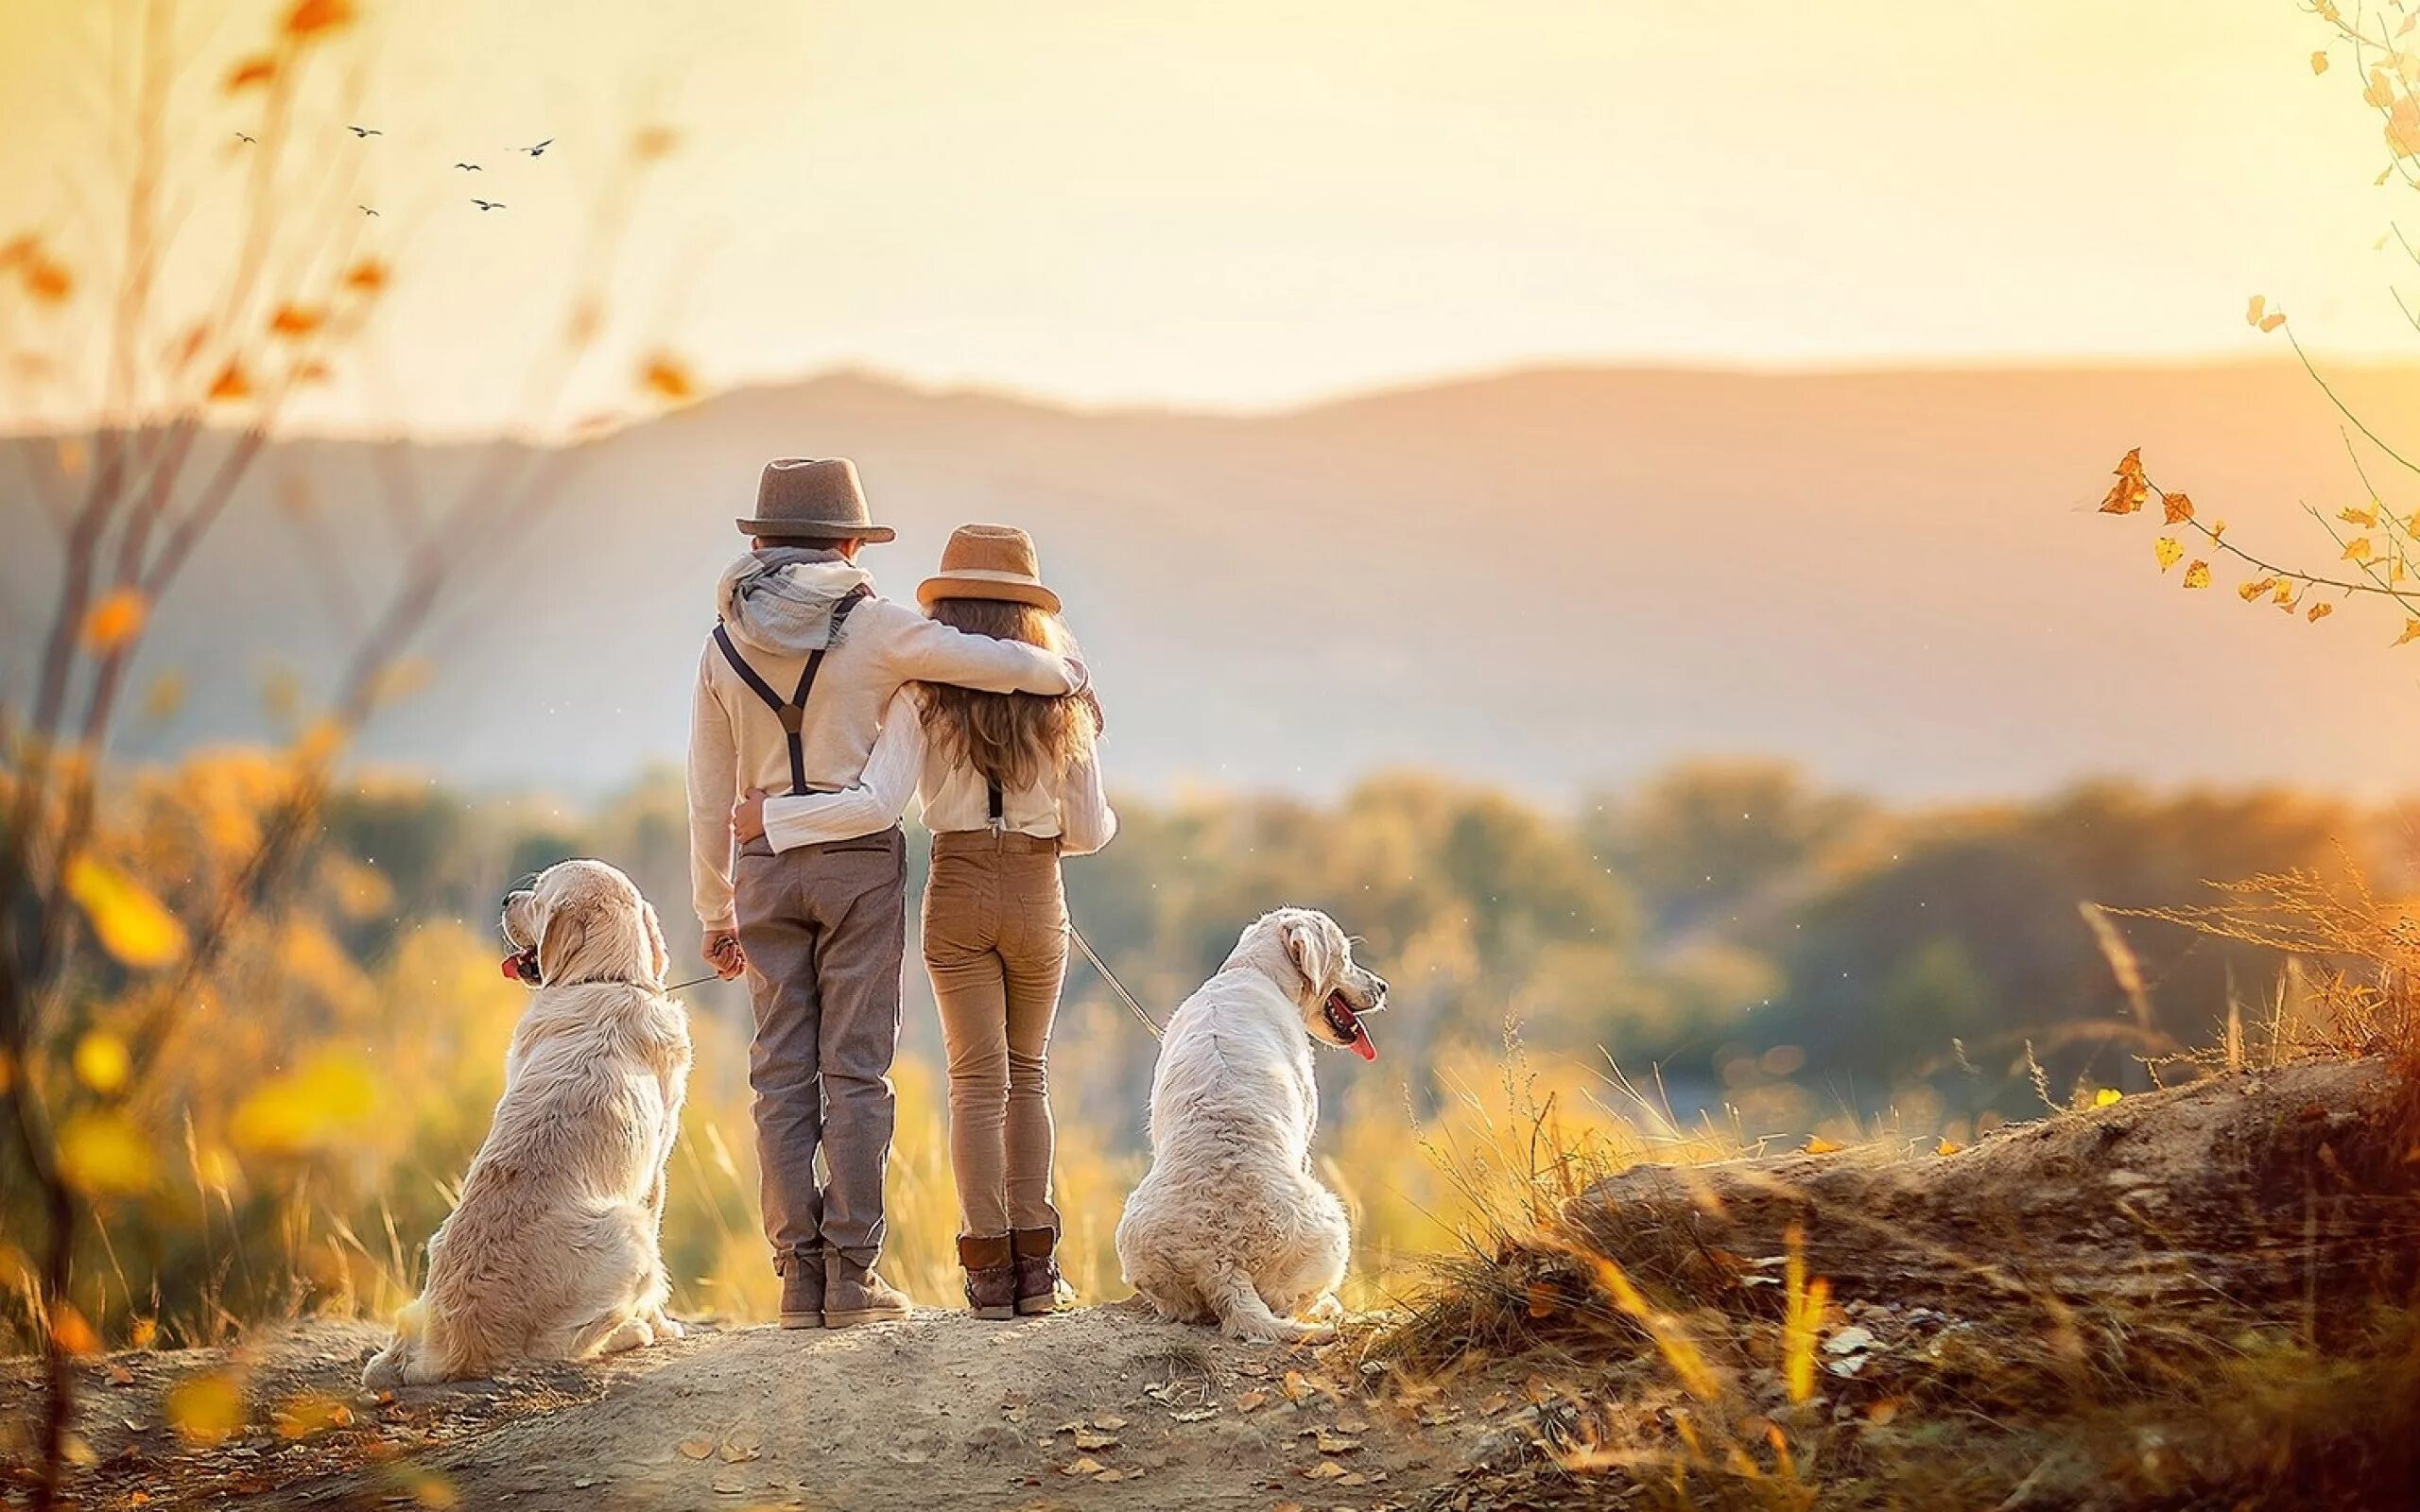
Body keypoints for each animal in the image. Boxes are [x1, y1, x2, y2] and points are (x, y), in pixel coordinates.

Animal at [363, 861, 697, 1383]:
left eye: (538, 898)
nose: (506, 899)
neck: (606, 979)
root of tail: (450, 1348)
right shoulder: (656, 1172)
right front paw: (663, 1325)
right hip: (629, 1231)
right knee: (559, 1346)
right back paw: (632, 1332)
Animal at [1108, 900, 1384, 1335]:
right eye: (1346, 956)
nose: (1383, 987)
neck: (1253, 972)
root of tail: (1222, 1264)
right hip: (1333, 1222)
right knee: (1291, 1302)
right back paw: (1325, 1307)